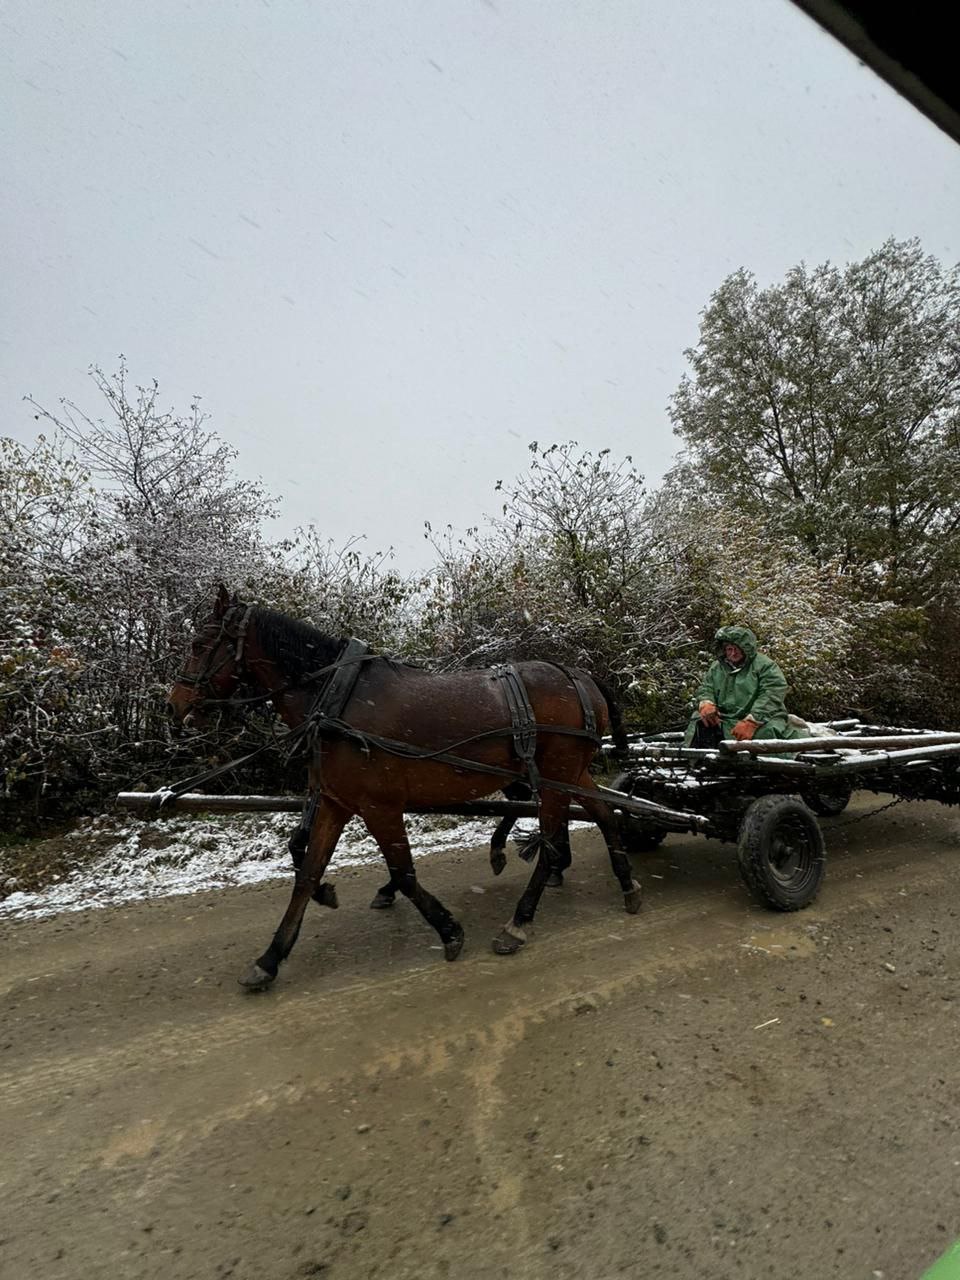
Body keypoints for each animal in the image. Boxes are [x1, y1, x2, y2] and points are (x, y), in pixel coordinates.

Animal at [167, 586, 642, 993]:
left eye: (198, 644)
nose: (175, 706)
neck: (337, 699)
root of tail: (579, 676)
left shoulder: (379, 806)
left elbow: (403, 872)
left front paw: (449, 930)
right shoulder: (337, 803)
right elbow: (307, 873)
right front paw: (270, 957)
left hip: (556, 773)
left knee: (552, 844)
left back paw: (518, 922)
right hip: (568, 774)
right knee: (603, 815)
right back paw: (627, 885)